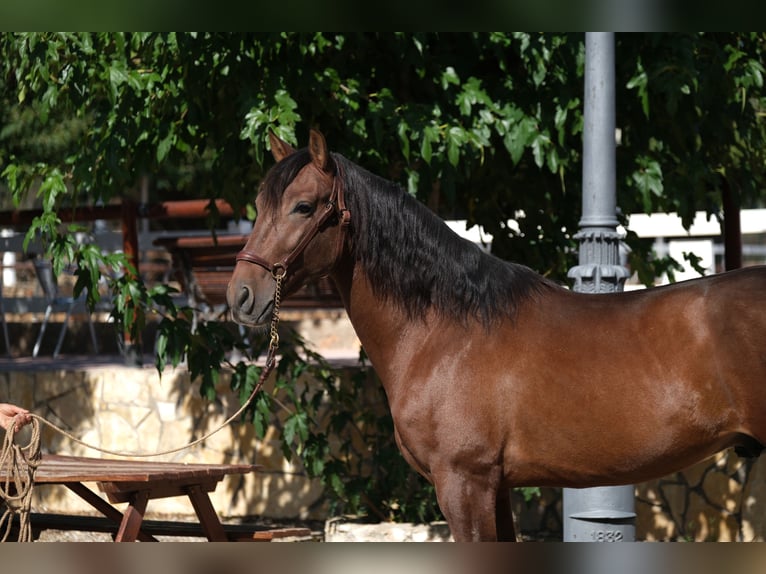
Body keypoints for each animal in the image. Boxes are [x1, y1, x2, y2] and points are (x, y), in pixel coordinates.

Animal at [226, 128, 766, 544]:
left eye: (303, 206)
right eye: (258, 204)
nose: (241, 295)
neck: (445, 332)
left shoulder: (465, 484)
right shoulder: (497, 488)